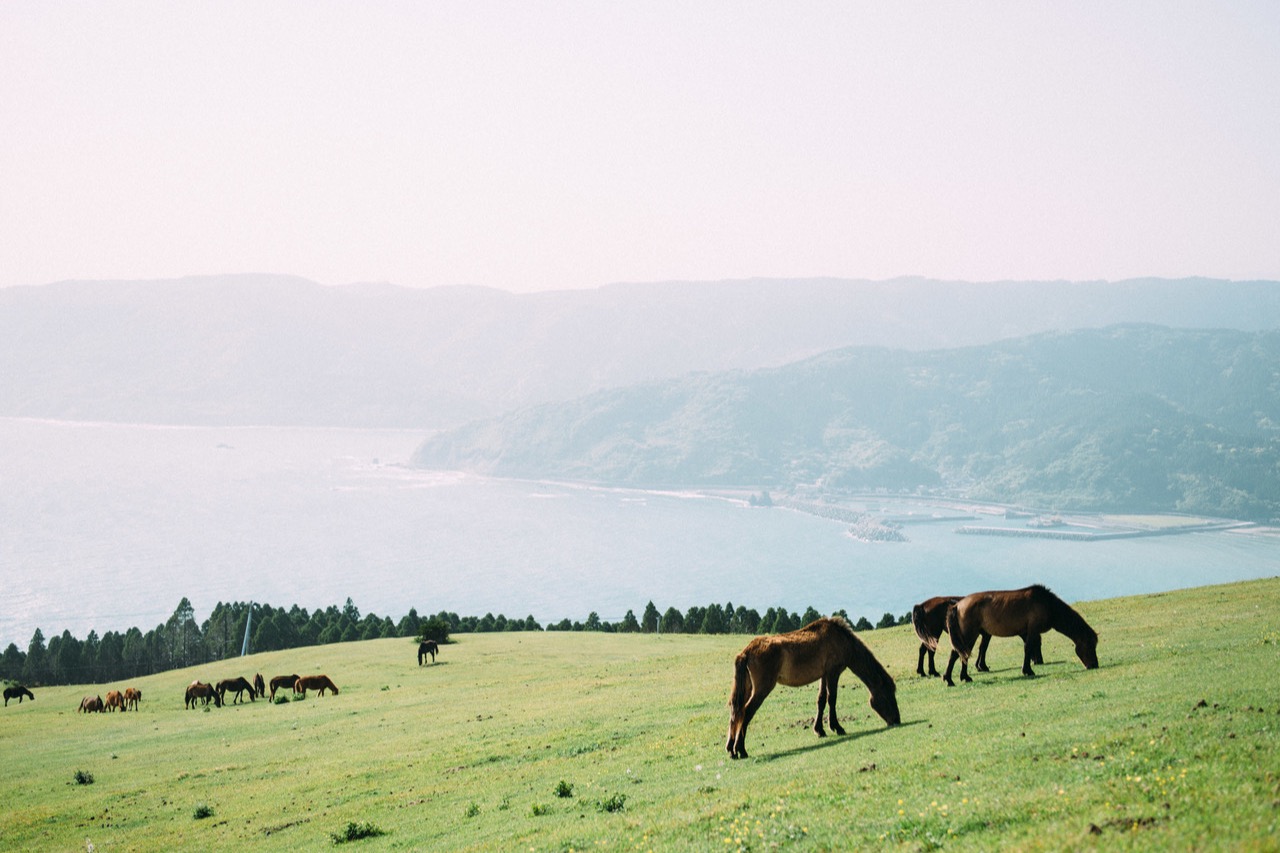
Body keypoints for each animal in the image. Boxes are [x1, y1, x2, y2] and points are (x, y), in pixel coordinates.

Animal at [732, 612, 901, 758]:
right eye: (887, 695)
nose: (896, 720)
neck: (842, 640)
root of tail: (746, 652)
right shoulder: (833, 672)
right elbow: (832, 698)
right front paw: (837, 727)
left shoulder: (824, 675)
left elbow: (821, 700)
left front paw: (820, 730)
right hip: (762, 689)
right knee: (746, 712)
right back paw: (741, 750)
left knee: (737, 712)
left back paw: (733, 750)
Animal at [942, 584, 1100, 686]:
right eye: (1089, 646)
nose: (1094, 665)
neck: (1047, 604)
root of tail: (957, 605)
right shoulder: (1032, 630)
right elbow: (1028, 649)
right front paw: (1028, 671)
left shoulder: (1026, 632)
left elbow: (1028, 650)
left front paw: (1027, 668)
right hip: (969, 634)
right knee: (956, 654)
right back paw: (950, 679)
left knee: (961, 654)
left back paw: (963, 677)